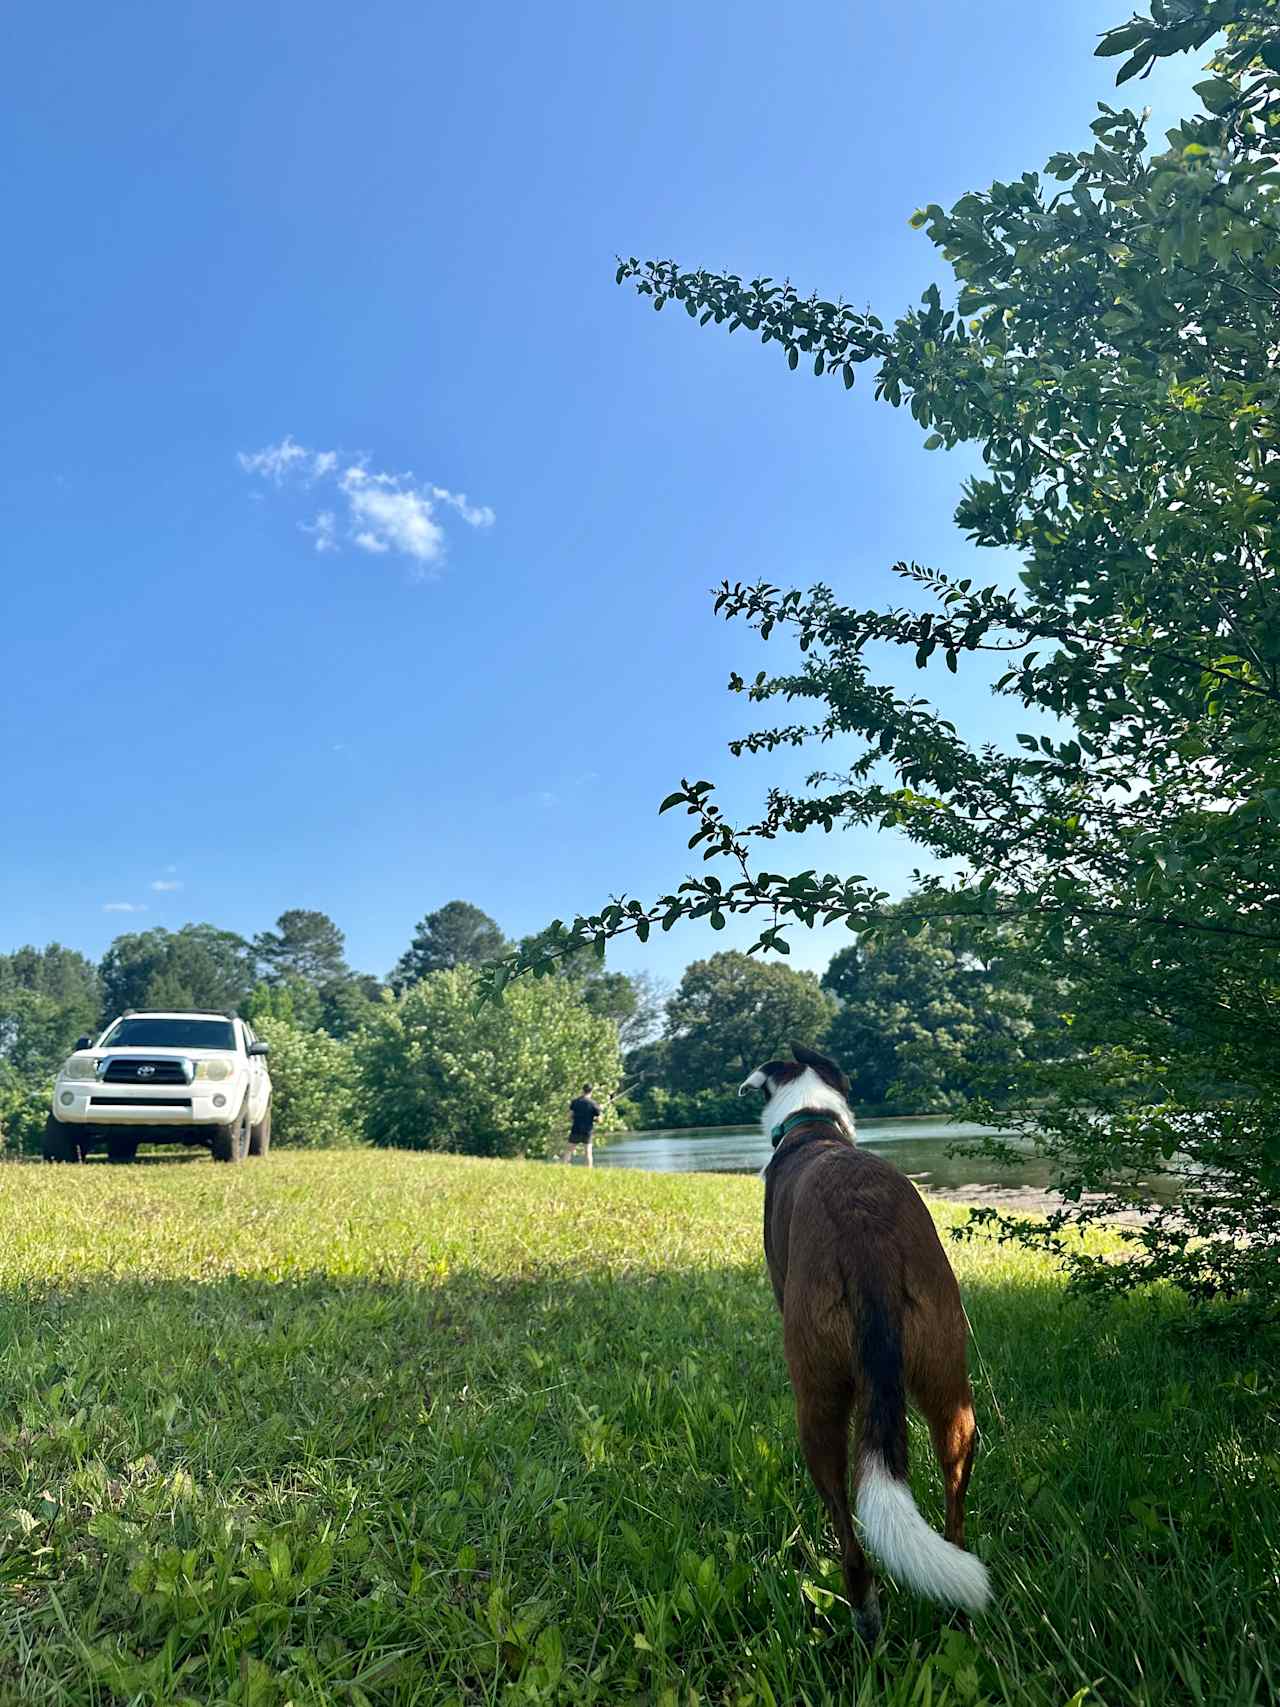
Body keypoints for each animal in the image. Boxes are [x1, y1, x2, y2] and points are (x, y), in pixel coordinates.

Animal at [740, 1037, 989, 1638]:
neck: (812, 1123)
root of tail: (867, 1240)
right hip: (951, 1382)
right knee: (955, 1508)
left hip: (818, 1399)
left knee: (849, 1536)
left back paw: (864, 1618)